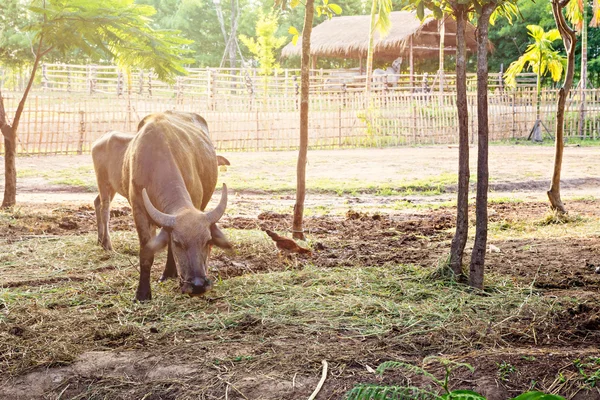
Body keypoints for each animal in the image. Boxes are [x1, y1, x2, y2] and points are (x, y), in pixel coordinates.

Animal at [92, 109, 232, 300]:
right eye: (178, 242)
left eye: (207, 241)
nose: (198, 285)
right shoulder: (139, 211)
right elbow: (146, 252)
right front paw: (143, 293)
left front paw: (170, 273)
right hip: (104, 183)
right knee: (104, 206)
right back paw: (106, 243)